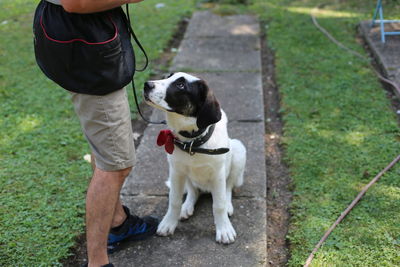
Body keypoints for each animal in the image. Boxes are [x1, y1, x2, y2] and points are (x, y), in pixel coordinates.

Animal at [142, 72, 245, 244]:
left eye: (181, 85)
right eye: (167, 77)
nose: (146, 85)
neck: (192, 143)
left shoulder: (218, 175)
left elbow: (219, 205)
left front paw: (224, 229)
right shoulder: (176, 172)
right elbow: (174, 201)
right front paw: (169, 222)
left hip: (238, 150)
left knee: (228, 187)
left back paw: (228, 204)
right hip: (186, 176)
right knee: (193, 191)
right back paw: (186, 206)